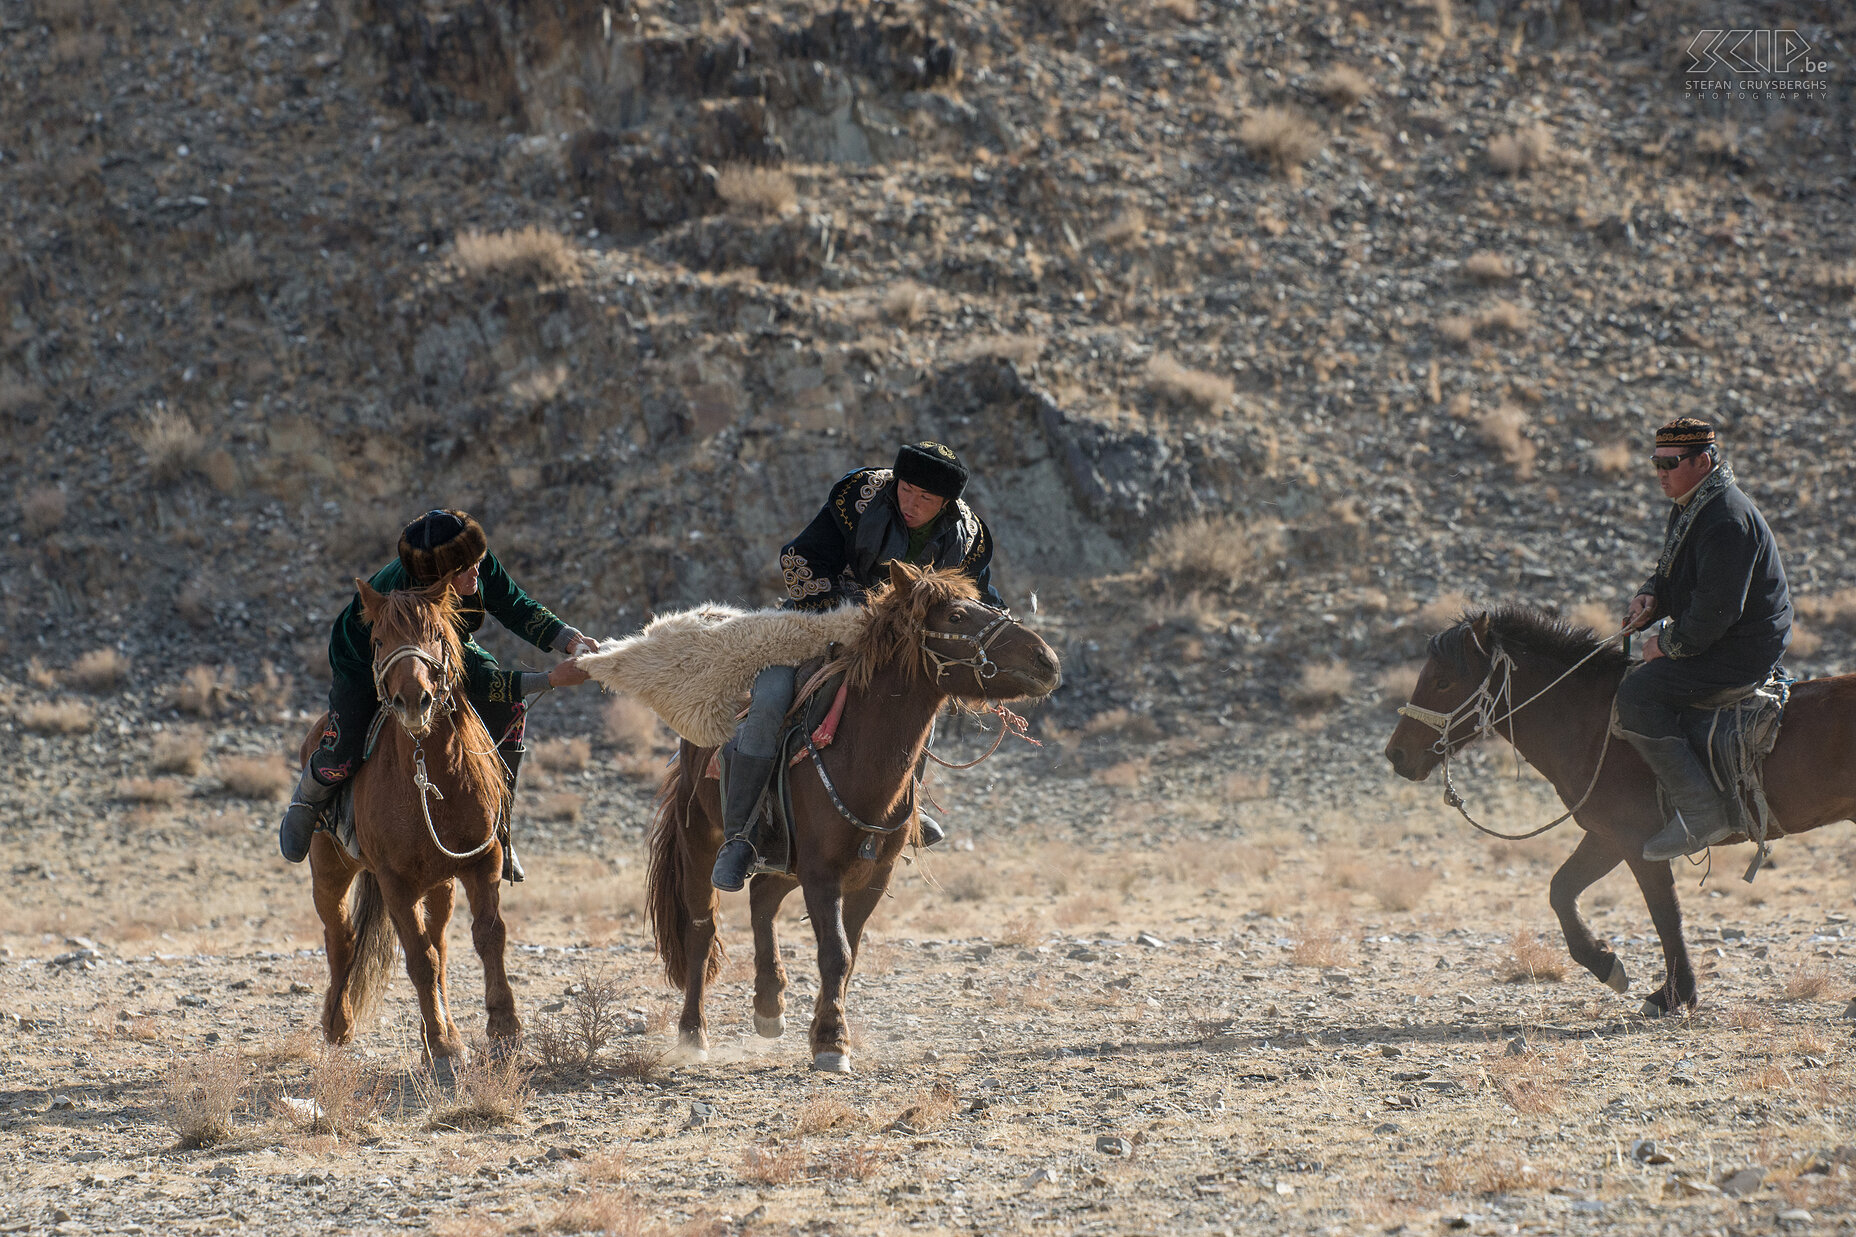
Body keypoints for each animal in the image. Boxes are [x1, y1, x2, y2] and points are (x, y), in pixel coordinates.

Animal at [300, 579, 515, 1069]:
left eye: (436, 635)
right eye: (379, 640)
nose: (413, 700)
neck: (428, 773)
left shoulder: (483, 861)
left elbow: (488, 936)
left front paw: (503, 1025)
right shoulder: (394, 882)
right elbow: (419, 959)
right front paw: (445, 1047)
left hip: (440, 885)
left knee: (441, 942)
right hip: (330, 874)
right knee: (341, 938)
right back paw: (338, 1024)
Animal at [649, 560, 1061, 1069]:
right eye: (957, 617)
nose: (1047, 661)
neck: (856, 756)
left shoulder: (871, 876)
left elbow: (849, 953)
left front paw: (828, 1032)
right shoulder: (822, 873)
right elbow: (835, 953)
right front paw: (830, 1042)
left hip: (784, 859)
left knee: (762, 898)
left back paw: (769, 1006)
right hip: (702, 842)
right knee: (702, 929)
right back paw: (693, 1033)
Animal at [1388, 605, 1856, 1010]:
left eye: (1444, 682)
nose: (1396, 755)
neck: (1595, 726)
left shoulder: (1638, 843)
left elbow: (1665, 915)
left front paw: (1674, 995)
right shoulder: (1606, 838)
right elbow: (1561, 890)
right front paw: (1605, 964)